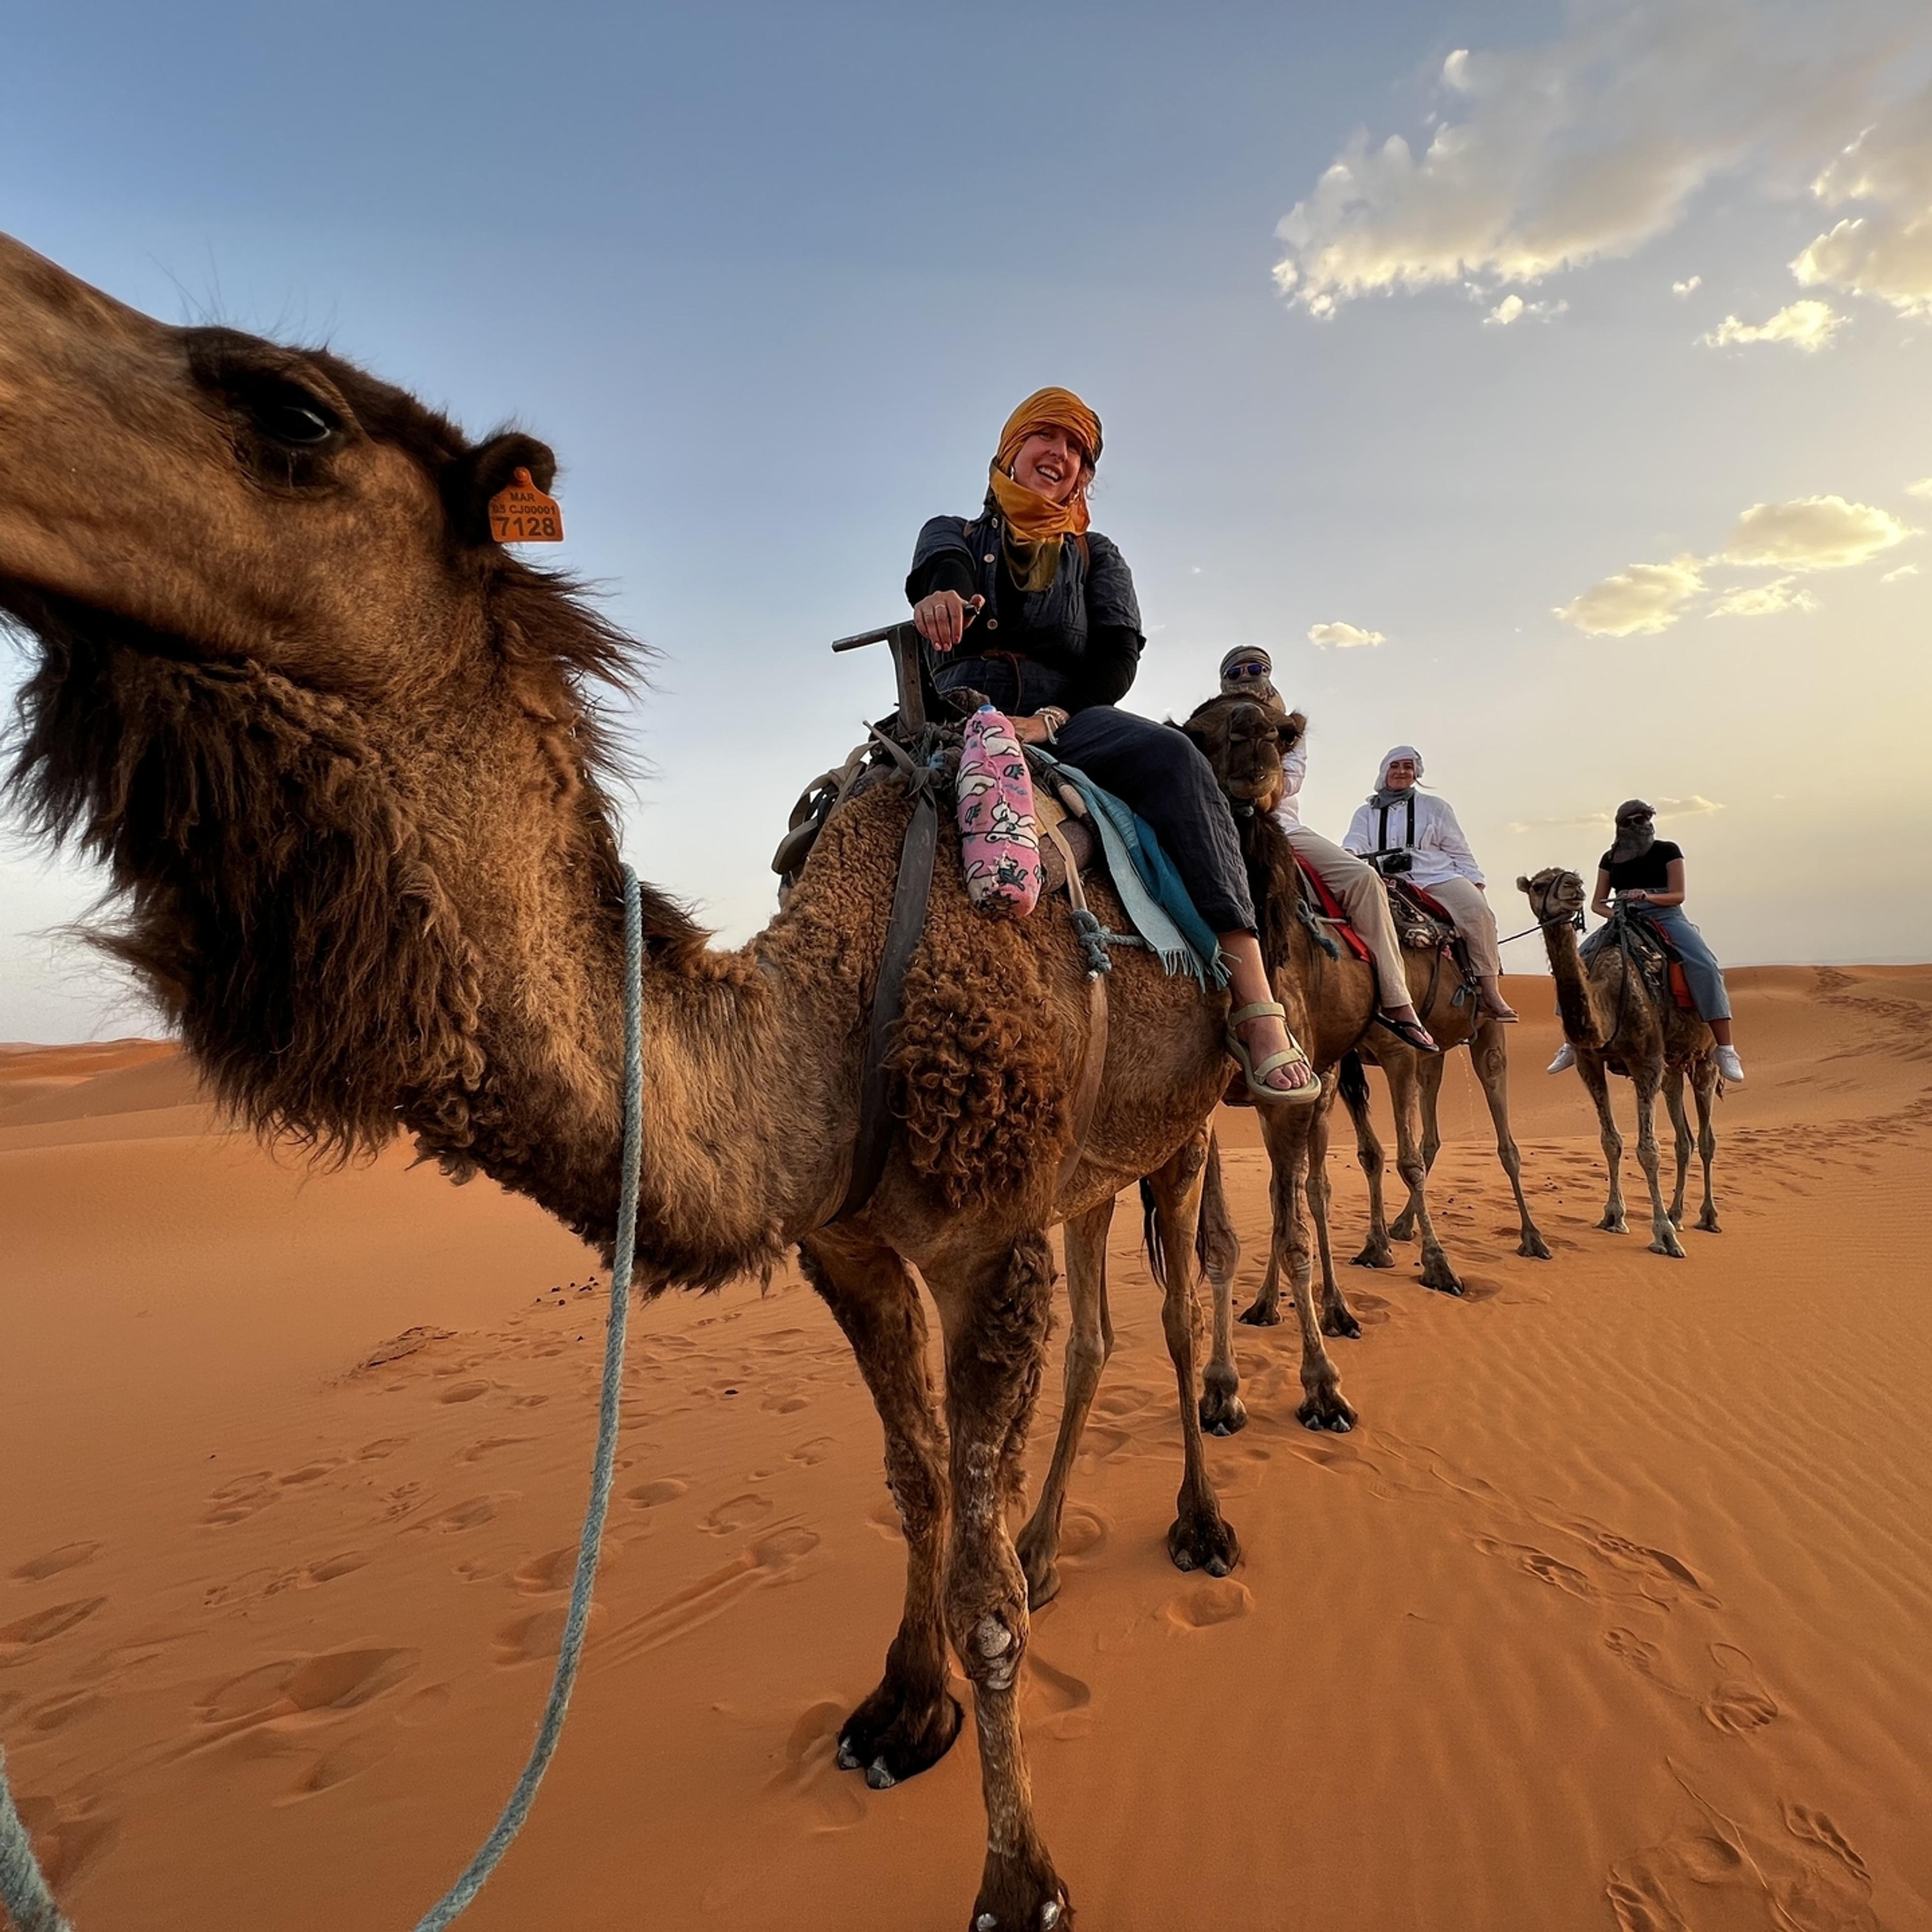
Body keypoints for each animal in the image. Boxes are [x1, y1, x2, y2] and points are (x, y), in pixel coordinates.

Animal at [0, 230, 1254, 1931]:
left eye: (296, 413)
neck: (836, 1026)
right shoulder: (851, 1244)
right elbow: (922, 1484)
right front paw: (900, 1709)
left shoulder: (981, 1241)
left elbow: (981, 1572)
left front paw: (1021, 1878)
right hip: (1090, 1160)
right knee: (1105, 1332)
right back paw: (1068, 1539)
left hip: (1183, 1118)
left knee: (1181, 1310)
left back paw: (1197, 1522)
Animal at [1517, 868, 1721, 1257]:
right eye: (1538, 885)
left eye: (1570, 877)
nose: (1573, 887)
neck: (1608, 1001)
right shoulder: (1590, 1063)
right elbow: (1610, 1141)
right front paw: (1614, 1216)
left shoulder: (1646, 1061)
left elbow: (1649, 1150)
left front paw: (1663, 1236)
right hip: (1674, 1067)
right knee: (1684, 1139)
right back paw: (1677, 1214)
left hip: (1706, 1056)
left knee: (1705, 1139)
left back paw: (1708, 1217)